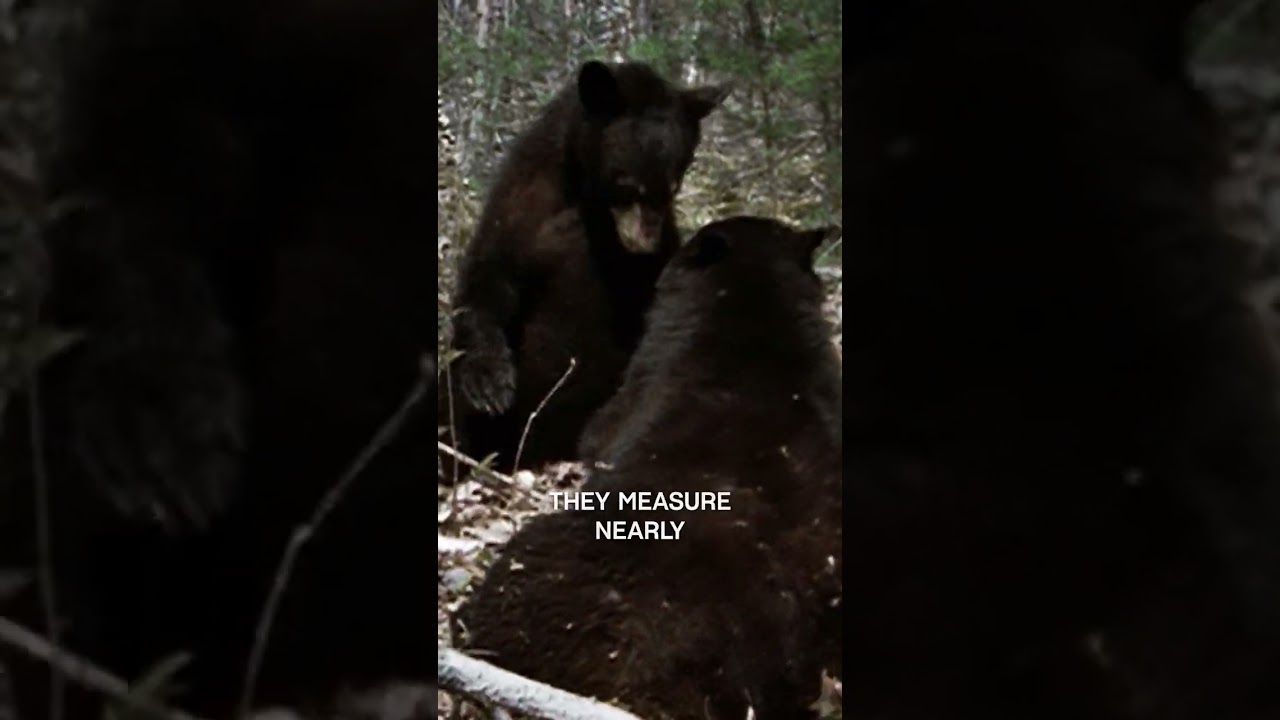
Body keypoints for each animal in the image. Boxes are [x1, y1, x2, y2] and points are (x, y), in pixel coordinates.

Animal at [438, 60, 731, 480]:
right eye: (629, 184)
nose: (645, 244)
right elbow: (489, 281)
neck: (585, 200)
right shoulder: (520, 207)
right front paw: (489, 384)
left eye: (674, 185)